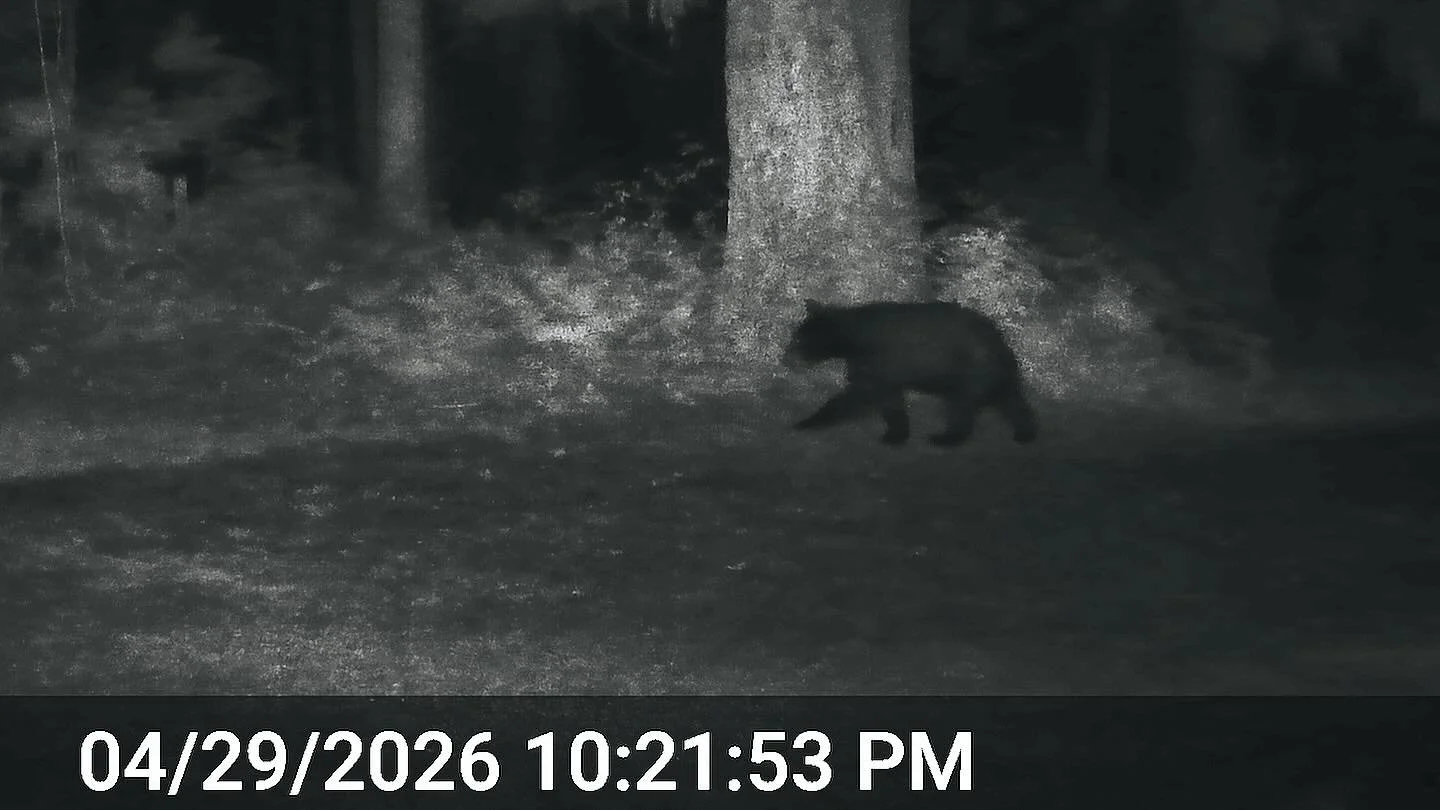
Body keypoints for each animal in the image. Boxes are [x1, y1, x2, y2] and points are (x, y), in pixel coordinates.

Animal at [784, 299, 1038, 447]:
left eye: (797, 340)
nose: (785, 359)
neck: (855, 336)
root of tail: (1000, 343)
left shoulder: (879, 359)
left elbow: (859, 394)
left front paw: (807, 421)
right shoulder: (882, 368)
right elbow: (890, 399)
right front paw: (896, 434)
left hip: (970, 371)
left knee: (961, 407)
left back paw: (946, 437)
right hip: (994, 374)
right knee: (1011, 399)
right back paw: (1025, 432)